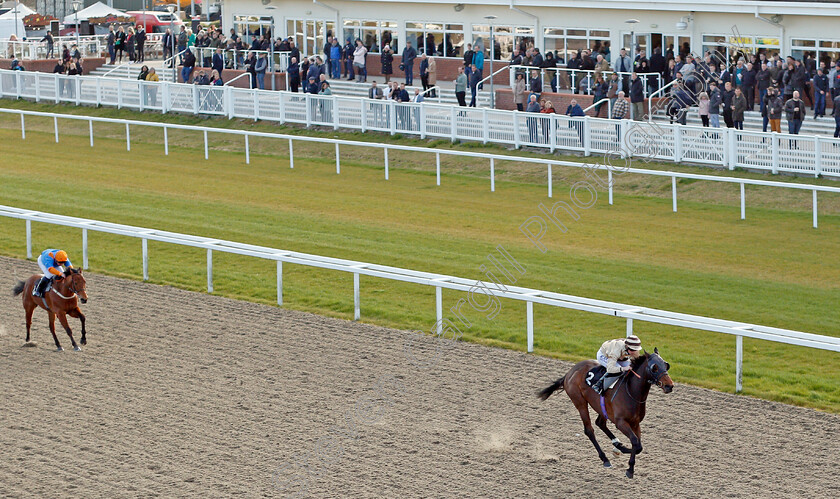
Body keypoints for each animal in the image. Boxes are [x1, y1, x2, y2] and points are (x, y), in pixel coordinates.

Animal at [540, 350, 672, 478]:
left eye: (666, 365)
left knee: (600, 423)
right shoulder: (621, 422)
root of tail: (569, 372)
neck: (631, 391)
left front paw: (621, 451)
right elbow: (635, 441)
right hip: (579, 402)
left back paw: (617, 444)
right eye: (654, 367)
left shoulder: (635, 422)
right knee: (589, 430)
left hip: (601, 407)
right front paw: (629, 469)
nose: (669, 386)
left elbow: (639, 446)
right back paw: (605, 459)